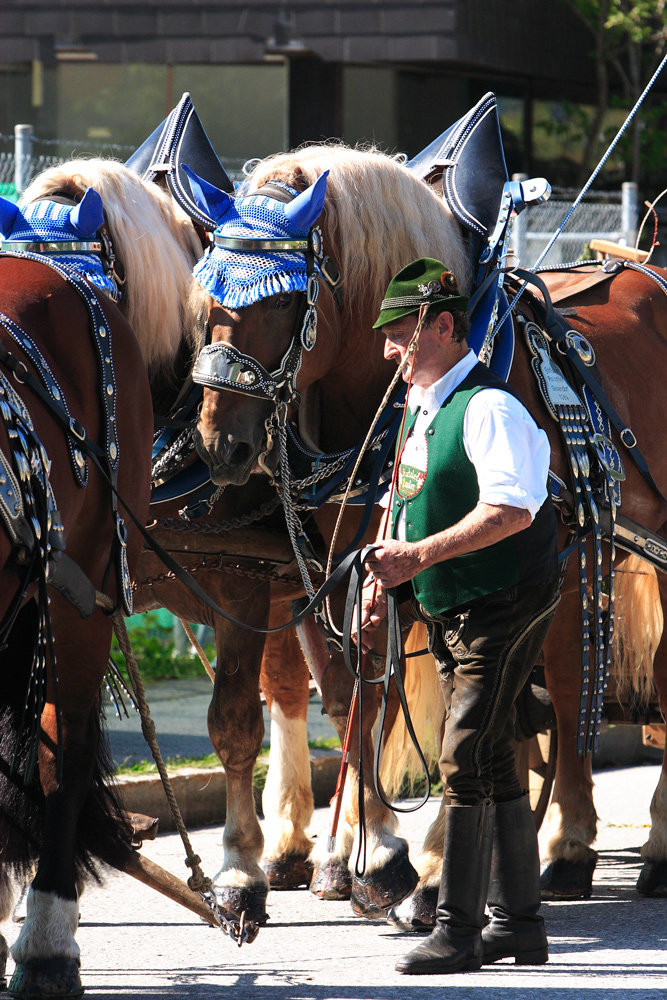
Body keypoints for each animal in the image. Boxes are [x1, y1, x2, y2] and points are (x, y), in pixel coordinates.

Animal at [189, 143, 667, 916]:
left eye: (285, 301)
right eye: (206, 300)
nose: (220, 444)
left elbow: (466, 710)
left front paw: (435, 863)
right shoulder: (354, 568)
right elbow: (362, 697)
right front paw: (363, 859)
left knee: (579, 689)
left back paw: (615, 845)